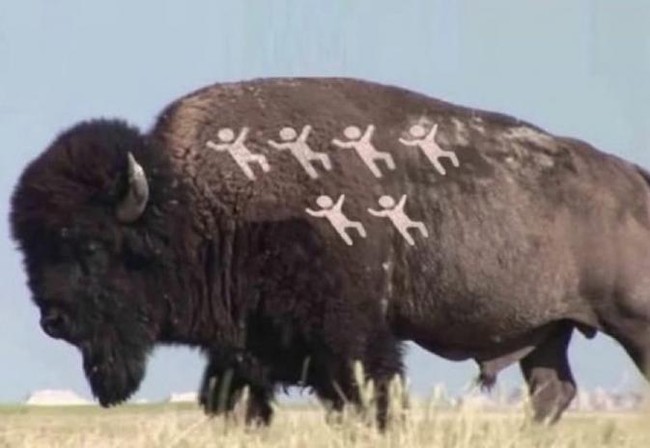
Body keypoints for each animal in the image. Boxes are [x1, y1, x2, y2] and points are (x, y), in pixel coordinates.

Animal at [10, 77, 650, 427]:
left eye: (91, 245)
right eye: (29, 247)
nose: (52, 320)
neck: (194, 202)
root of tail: (633, 179)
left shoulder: (354, 341)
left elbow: (370, 398)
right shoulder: (242, 351)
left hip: (631, 323)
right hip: (546, 334)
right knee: (552, 391)